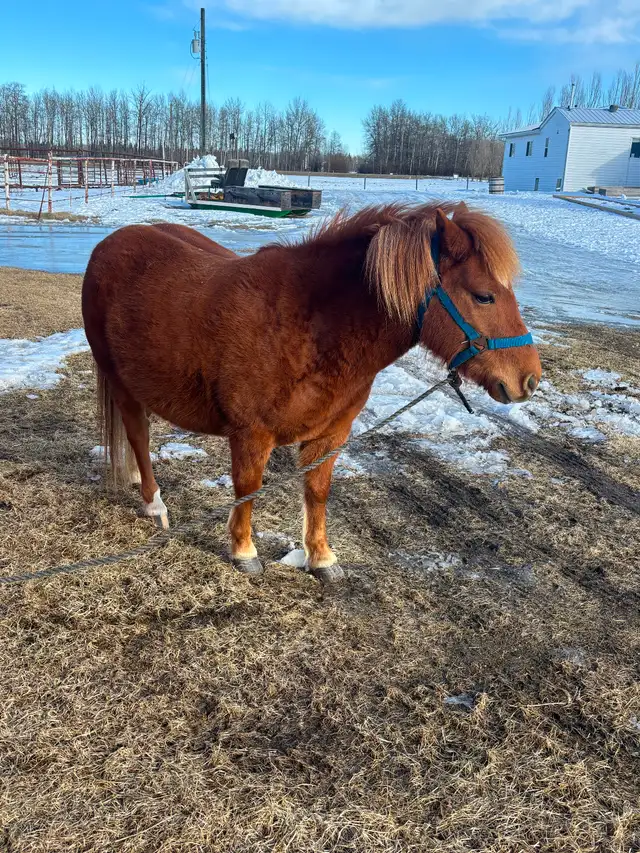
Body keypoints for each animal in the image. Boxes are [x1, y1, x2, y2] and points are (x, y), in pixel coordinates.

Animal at [81, 202, 541, 583]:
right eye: (484, 296)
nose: (529, 380)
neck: (309, 326)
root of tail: (110, 244)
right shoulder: (251, 434)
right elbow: (248, 486)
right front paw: (244, 551)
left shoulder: (331, 435)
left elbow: (317, 494)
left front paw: (321, 558)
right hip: (119, 381)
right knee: (138, 435)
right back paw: (154, 502)